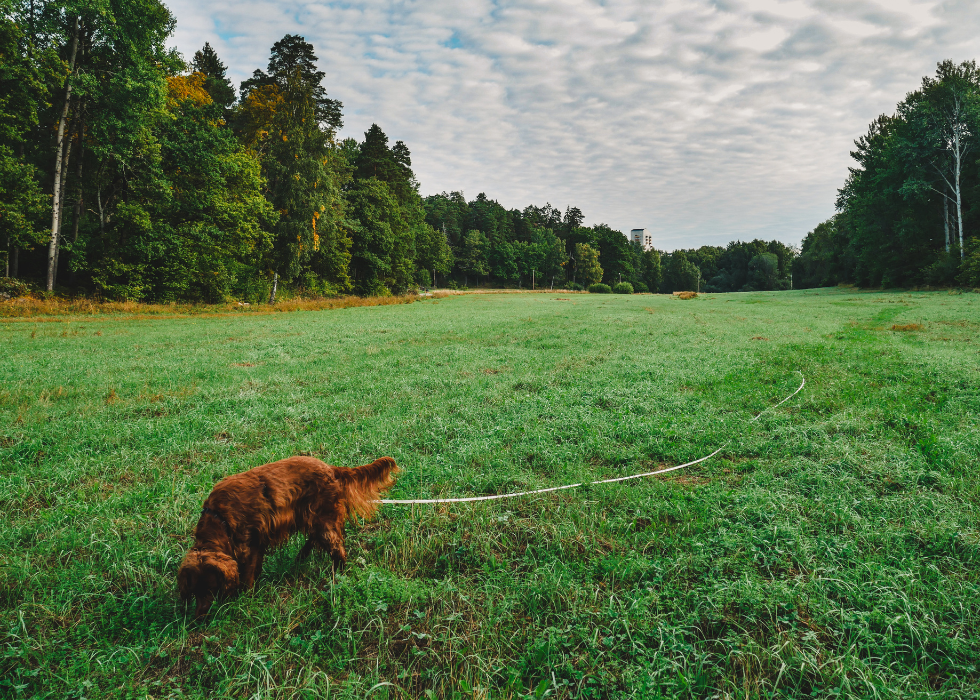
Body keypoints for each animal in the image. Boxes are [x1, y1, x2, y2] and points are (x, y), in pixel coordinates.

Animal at [178, 456, 396, 616]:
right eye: (195, 592)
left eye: (209, 589)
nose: (199, 617)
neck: (219, 518)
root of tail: (332, 469)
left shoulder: (251, 544)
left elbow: (247, 576)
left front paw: (243, 599)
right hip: (311, 517)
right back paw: (300, 558)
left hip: (324, 520)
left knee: (337, 550)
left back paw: (337, 575)